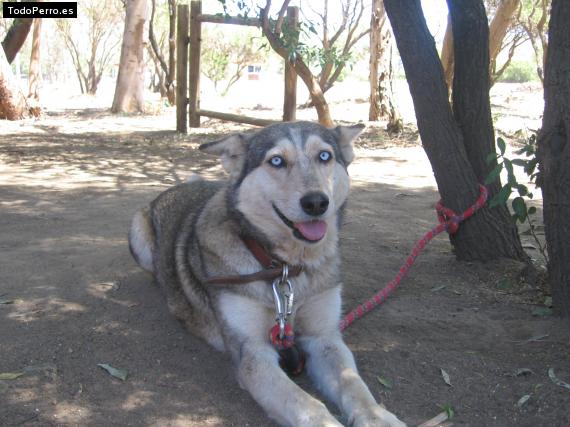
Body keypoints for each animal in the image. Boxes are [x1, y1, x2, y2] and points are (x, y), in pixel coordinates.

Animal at [129, 121, 404, 427]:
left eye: (325, 156)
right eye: (276, 161)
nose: (316, 202)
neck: (286, 269)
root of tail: (176, 186)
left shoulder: (324, 338)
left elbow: (354, 384)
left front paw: (379, 417)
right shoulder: (253, 353)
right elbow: (306, 405)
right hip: (137, 233)